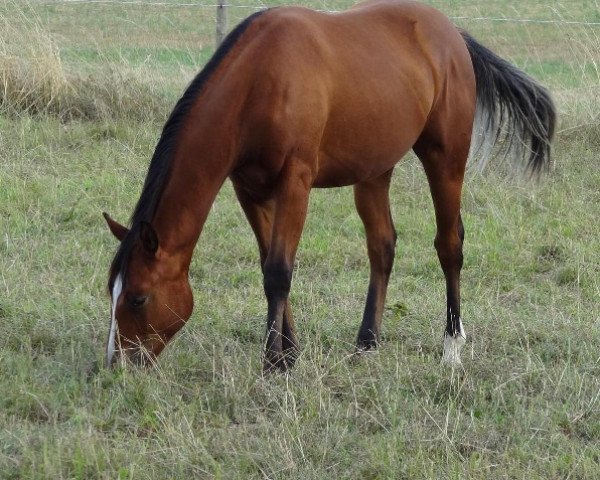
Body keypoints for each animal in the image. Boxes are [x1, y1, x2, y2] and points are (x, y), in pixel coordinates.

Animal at [102, 0, 552, 372]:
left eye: (138, 297)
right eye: (112, 291)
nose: (117, 364)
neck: (260, 80)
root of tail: (450, 32)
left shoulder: (295, 183)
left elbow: (278, 271)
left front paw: (274, 364)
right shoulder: (249, 189)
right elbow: (269, 264)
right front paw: (288, 352)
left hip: (445, 158)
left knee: (449, 245)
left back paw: (451, 347)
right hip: (373, 171)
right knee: (382, 246)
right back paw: (366, 344)